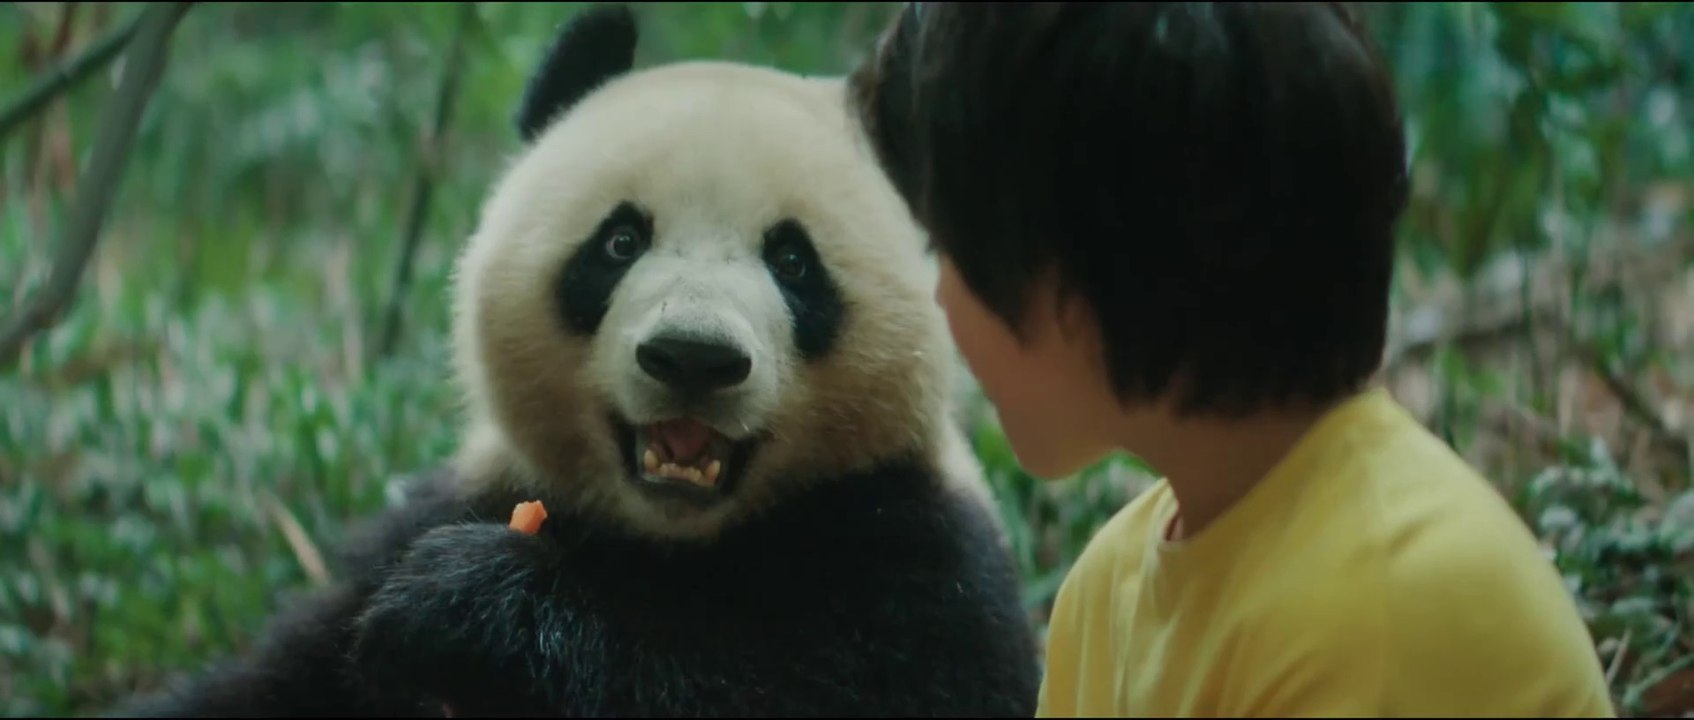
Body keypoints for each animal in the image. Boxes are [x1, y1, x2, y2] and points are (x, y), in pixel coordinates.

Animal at [110, 4, 1039, 718]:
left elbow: (787, 686)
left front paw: (477, 611)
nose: (693, 357)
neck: (675, 539)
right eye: (620, 241)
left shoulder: (920, 565)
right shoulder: (452, 508)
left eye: (792, 261)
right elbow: (279, 681)